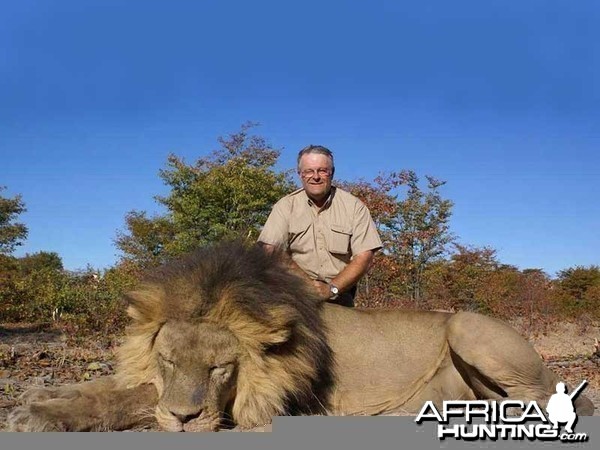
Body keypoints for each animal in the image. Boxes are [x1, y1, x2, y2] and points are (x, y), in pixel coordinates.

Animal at [5, 241, 596, 430]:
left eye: (222, 369)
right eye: (168, 360)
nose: (184, 419)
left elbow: (128, 401)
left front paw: (38, 415)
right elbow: (112, 390)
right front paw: (39, 400)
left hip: (469, 325)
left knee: (543, 400)